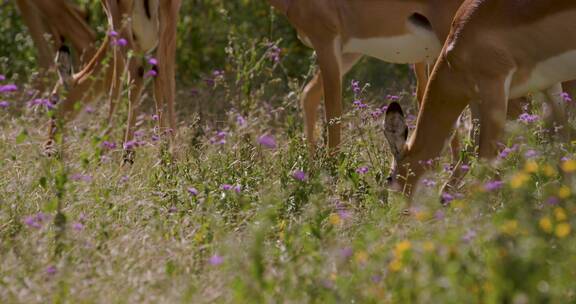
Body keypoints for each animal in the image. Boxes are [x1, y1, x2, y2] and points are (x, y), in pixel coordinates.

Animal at [44, 0, 180, 163]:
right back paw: (170, 156)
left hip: (121, 19)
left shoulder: (114, 31)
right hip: (169, 18)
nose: (49, 148)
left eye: (54, 101)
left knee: (136, 74)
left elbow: (115, 85)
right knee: (163, 73)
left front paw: (102, 152)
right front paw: (166, 152)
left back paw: (126, 157)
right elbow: (163, 79)